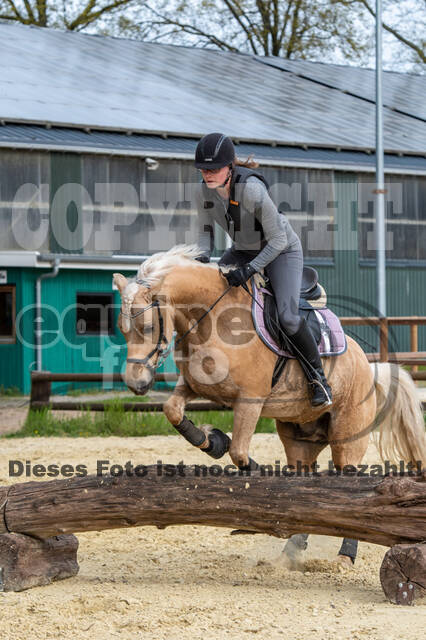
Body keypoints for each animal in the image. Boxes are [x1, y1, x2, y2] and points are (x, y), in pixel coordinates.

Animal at [114, 248, 426, 568]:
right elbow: (173, 411)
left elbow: (239, 452)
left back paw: (344, 555)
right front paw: (214, 440)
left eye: (149, 327)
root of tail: (368, 365)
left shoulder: (250, 400)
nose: (137, 384)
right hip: (300, 440)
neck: (211, 321)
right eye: (122, 330)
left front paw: (252, 471)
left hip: (347, 437)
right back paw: (291, 551)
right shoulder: (193, 387)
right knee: (303, 481)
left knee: (351, 483)